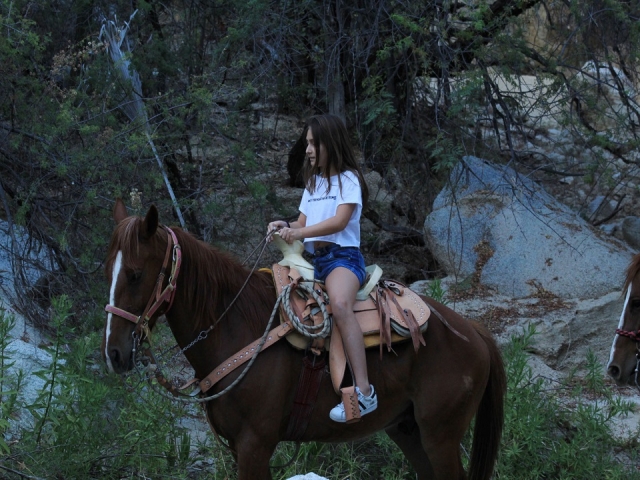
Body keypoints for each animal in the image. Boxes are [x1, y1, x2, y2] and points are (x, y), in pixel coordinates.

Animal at [101, 198, 506, 480]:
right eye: (109, 270)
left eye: (135, 274)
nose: (115, 353)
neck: (235, 325)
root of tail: (474, 332)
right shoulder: (237, 447)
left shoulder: (254, 445)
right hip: (408, 430)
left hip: (440, 434)